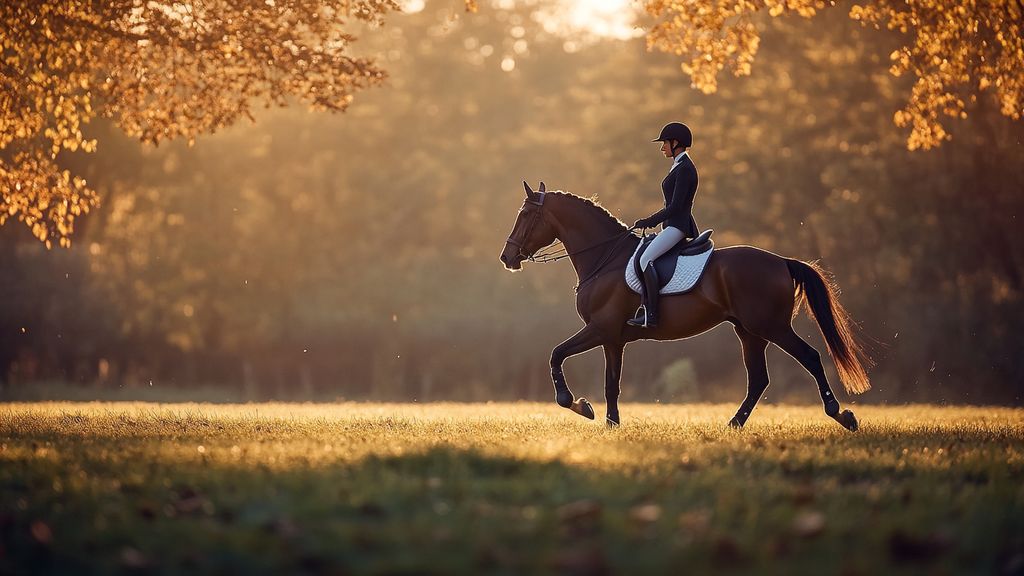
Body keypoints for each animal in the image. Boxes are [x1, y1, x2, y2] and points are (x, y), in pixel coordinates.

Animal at [499, 181, 868, 428]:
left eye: (525, 214)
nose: (507, 257)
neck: (605, 258)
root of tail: (782, 261)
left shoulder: (600, 328)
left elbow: (557, 354)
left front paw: (575, 404)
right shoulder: (613, 338)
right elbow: (611, 383)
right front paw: (609, 423)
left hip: (771, 327)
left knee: (810, 357)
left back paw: (842, 415)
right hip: (749, 332)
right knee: (758, 380)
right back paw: (733, 425)